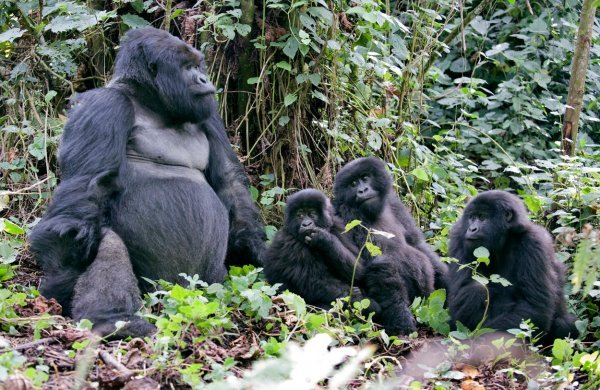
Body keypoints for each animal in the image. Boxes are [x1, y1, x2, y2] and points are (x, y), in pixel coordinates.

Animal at [27, 27, 264, 338]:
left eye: (198, 66)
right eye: (187, 68)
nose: (204, 79)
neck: (151, 101)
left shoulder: (209, 110)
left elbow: (228, 180)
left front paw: (253, 247)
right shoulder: (104, 105)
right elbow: (83, 199)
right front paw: (62, 280)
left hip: (209, 286)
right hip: (162, 290)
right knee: (104, 237)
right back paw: (113, 319)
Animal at [448, 190, 580, 342]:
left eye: (482, 217)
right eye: (472, 217)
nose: (472, 228)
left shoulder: (534, 242)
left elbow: (534, 308)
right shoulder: (459, 236)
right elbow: (460, 295)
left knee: (566, 324)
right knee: (476, 289)